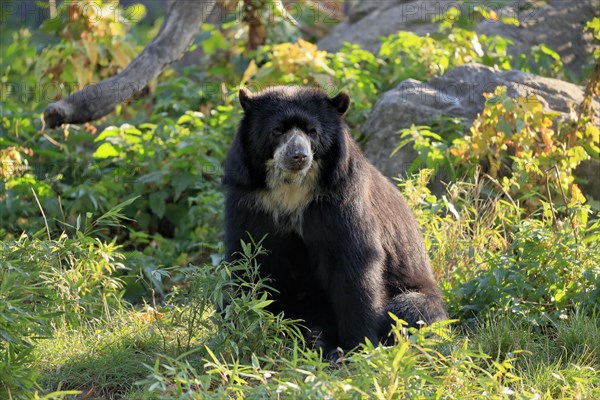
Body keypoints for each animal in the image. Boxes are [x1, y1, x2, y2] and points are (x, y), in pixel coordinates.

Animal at [223, 85, 448, 356]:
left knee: (410, 311)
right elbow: (248, 257)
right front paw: (250, 325)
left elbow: (354, 264)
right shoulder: (251, 201)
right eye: (277, 130)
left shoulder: (339, 201)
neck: (291, 189)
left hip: (421, 298)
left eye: (312, 131)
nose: (298, 156)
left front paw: (358, 345)